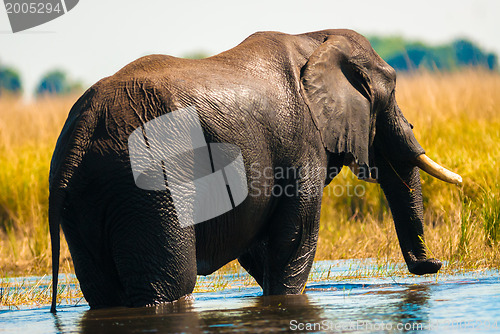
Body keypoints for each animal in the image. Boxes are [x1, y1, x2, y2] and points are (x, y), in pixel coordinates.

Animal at [48, 30, 462, 312]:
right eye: (390, 94)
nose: (434, 264)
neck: (315, 40)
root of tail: (82, 128)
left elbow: (260, 248)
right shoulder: (303, 144)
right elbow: (294, 240)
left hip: (89, 195)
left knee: (103, 290)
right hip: (148, 183)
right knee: (169, 283)